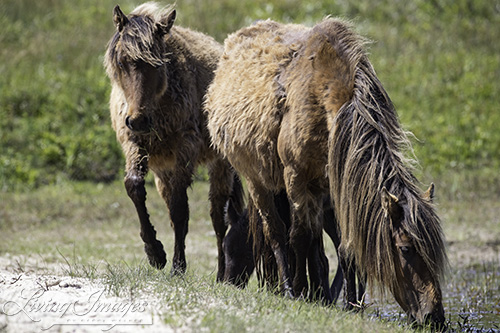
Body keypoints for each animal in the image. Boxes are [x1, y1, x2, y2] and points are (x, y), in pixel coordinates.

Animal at [103, 3, 242, 280]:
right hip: (163, 173)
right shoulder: (134, 143)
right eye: (122, 62)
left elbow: (180, 210)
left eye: (157, 65)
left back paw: (221, 274)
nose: (138, 120)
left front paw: (178, 266)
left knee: (218, 219)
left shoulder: (185, 148)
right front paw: (155, 252)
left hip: (220, 166)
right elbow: (134, 187)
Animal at [205, 18, 448, 326]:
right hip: (256, 181)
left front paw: (349, 303)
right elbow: (298, 237)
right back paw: (291, 286)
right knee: (277, 232)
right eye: (405, 248)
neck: (326, 101)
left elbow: (344, 247)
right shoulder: (297, 178)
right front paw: (297, 291)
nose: (434, 316)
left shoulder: (337, 188)